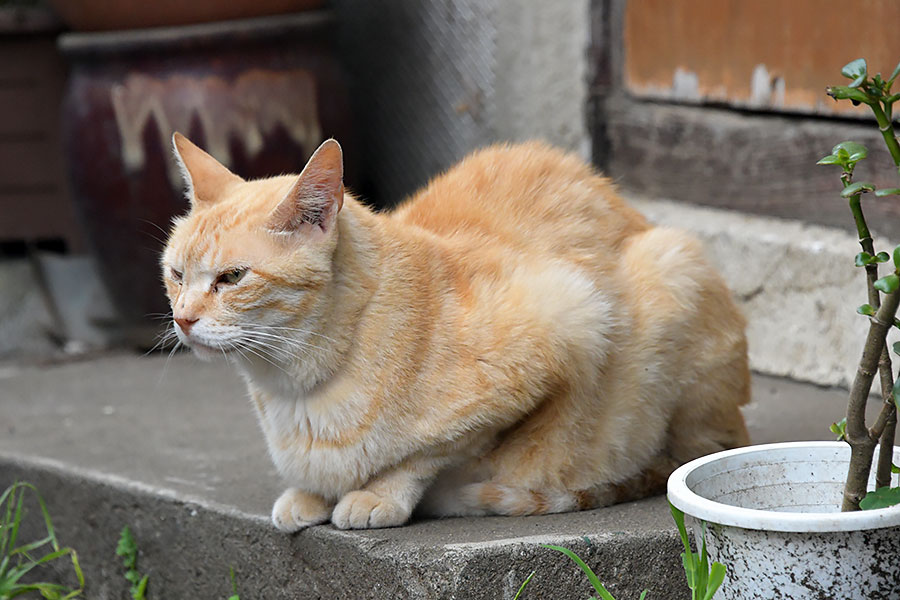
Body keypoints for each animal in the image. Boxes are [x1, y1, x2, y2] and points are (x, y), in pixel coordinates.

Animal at [163, 134, 752, 532]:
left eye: (232, 277)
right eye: (176, 274)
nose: (183, 318)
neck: (293, 389)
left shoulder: (570, 322)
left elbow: (429, 455)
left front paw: (378, 495)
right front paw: (308, 496)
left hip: (672, 267)